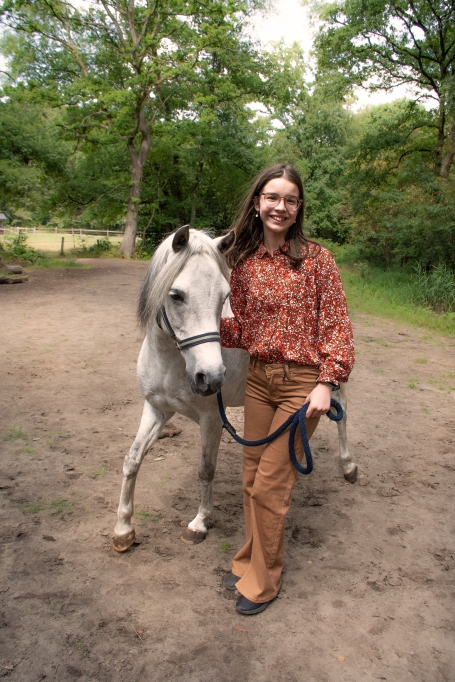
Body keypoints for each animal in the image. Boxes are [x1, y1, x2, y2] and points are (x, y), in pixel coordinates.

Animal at [112, 226, 358, 548]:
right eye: (176, 295)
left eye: (225, 296)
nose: (211, 377)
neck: (171, 363)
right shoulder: (156, 410)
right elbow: (132, 460)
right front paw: (123, 529)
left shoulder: (212, 419)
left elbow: (206, 469)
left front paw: (200, 523)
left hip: (329, 378)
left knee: (342, 412)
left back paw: (349, 466)